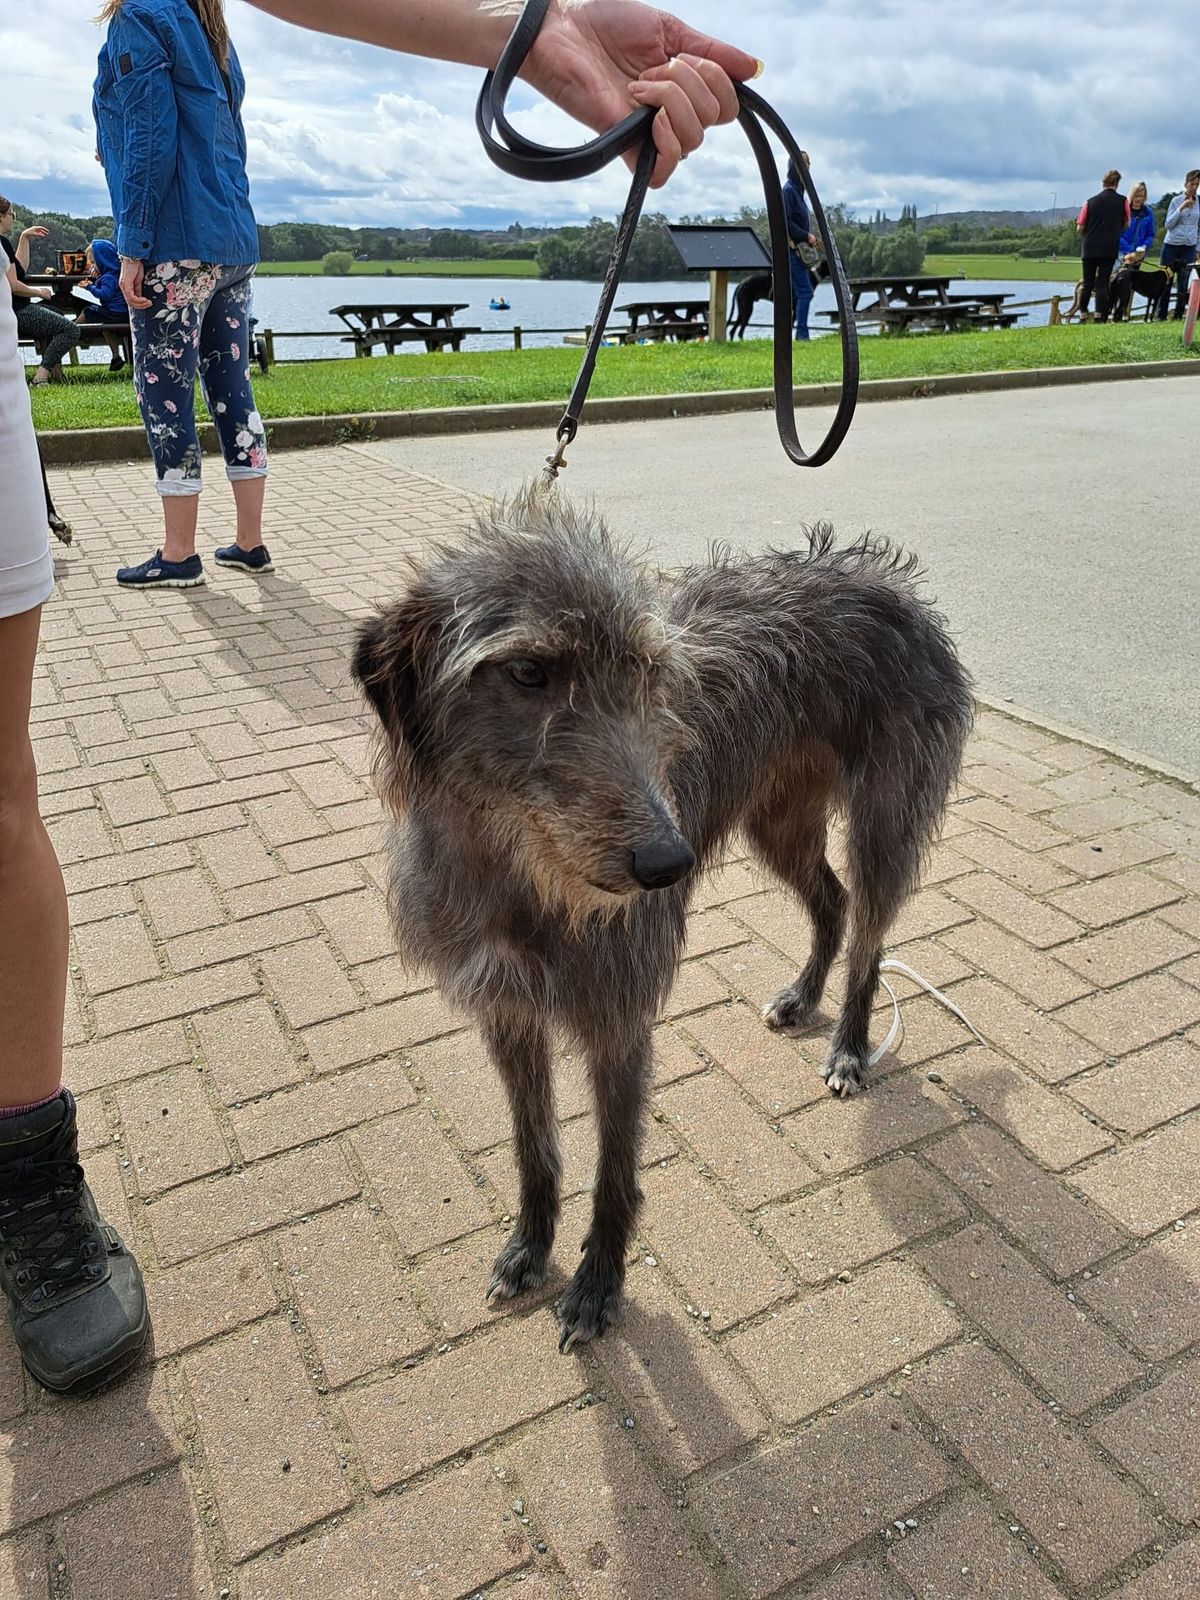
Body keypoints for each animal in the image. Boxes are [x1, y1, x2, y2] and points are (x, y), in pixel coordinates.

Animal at [352, 489, 972, 1350]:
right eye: (528, 671)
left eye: (646, 672)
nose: (667, 864)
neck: (522, 879)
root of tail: (885, 577)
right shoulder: (508, 1012)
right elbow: (533, 1148)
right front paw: (529, 1246)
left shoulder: (619, 1022)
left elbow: (615, 1171)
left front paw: (597, 1284)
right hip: (777, 818)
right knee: (832, 901)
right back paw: (802, 997)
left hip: (885, 814)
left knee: (871, 928)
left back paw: (849, 1045)